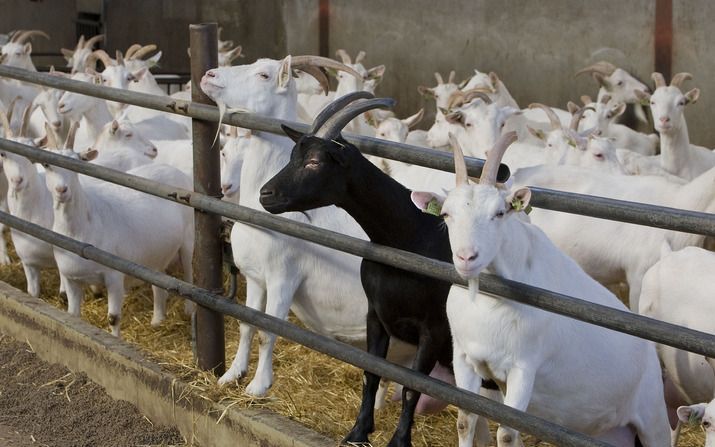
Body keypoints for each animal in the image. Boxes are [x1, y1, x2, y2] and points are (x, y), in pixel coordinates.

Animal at [262, 93, 498, 446]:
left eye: (315, 161)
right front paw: (358, 431)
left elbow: (412, 387)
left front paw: (399, 441)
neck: (408, 237)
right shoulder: (376, 315)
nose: (265, 194)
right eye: (293, 156)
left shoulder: (433, 329)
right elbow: (372, 372)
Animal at [414, 134, 672, 447]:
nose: (466, 257)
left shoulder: (524, 367)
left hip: (652, 412)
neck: (490, 302)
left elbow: (507, 434)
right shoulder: (464, 357)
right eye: (446, 214)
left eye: (499, 213)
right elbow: (466, 420)